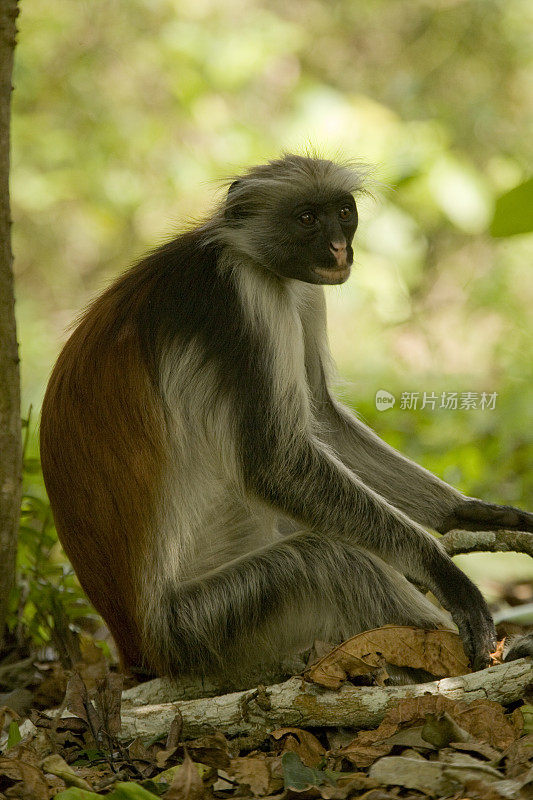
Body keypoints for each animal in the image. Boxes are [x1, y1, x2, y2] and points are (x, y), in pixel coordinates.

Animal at [40, 156, 532, 680]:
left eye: (343, 212)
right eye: (307, 218)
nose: (338, 247)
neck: (244, 252)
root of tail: (134, 647)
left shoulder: (302, 289)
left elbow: (319, 415)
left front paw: (470, 512)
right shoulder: (245, 296)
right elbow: (276, 464)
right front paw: (440, 570)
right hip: (202, 623)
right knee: (332, 559)